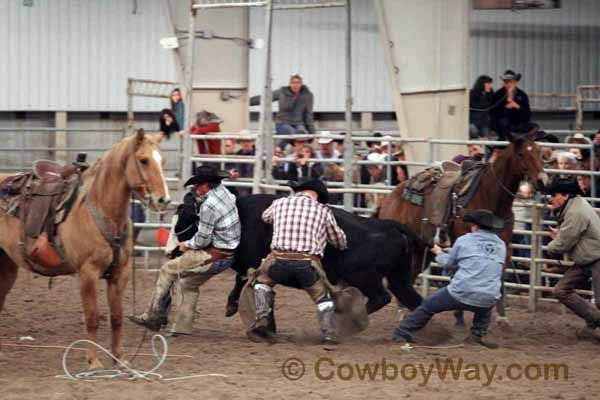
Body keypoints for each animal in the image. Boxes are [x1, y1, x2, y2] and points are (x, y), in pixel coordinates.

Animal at [0, 129, 170, 368]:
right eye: (143, 160)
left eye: (162, 160)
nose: (163, 199)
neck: (100, 211)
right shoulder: (88, 274)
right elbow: (92, 317)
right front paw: (93, 361)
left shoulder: (120, 274)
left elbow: (116, 317)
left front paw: (120, 359)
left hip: (6, 266)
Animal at [380, 134, 548, 316]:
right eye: (521, 154)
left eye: (539, 152)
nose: (542, 181)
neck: (489, 195)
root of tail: (389, 198)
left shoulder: (505, 245)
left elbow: (499, 277)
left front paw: (501, 317)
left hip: (423, 248)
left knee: (410, 276)